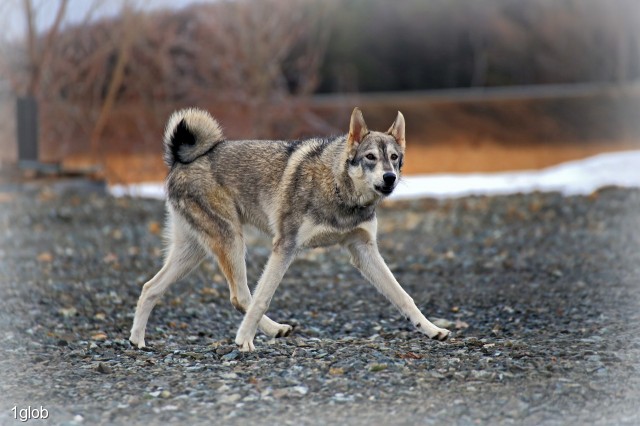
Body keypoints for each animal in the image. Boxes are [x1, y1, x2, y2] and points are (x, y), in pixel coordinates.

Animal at [130, 107, 450, 352]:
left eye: (394, 158)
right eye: (370, 157)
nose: (389, 178)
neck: (339, 189)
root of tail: (180, 160)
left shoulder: (363, 250)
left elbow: (403, 296)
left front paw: (431, 329)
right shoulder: (285, 246)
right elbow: (262, 298)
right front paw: (243, 341)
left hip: (193, 252)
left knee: (149, 288)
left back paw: (137, 341)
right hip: (232, 242)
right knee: (240, 296)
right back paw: (262, 333)